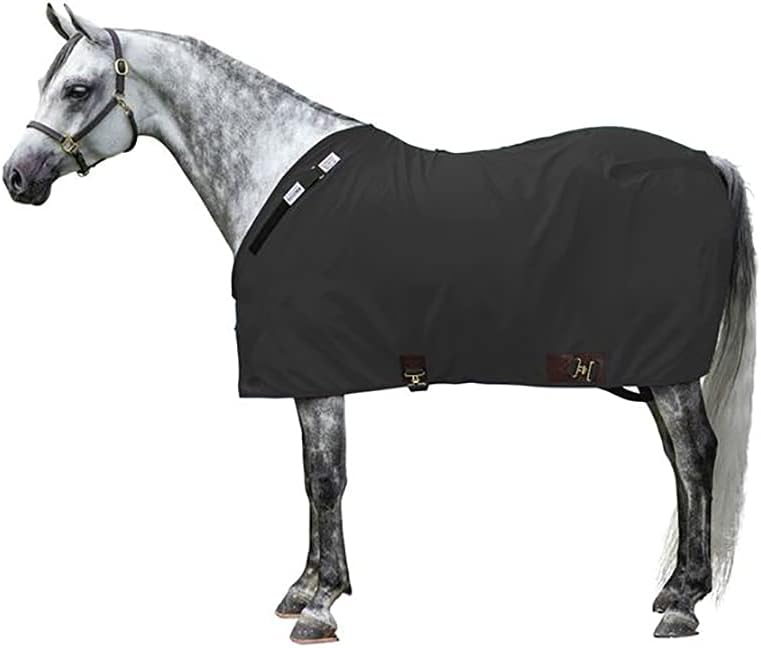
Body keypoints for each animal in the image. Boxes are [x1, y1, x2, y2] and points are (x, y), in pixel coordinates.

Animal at [3, 5, 755, 643]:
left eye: (76, 89)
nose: (17, 177)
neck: (282, 185)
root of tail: (704, 161)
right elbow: (313, 476)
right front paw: (307, 587)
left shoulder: (317, 371)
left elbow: (325, 478)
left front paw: (320, 603)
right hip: (651, 368)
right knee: (678, 459)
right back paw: (675, 589)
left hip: (666, 368)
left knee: (695, 455)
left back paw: (683, 602)